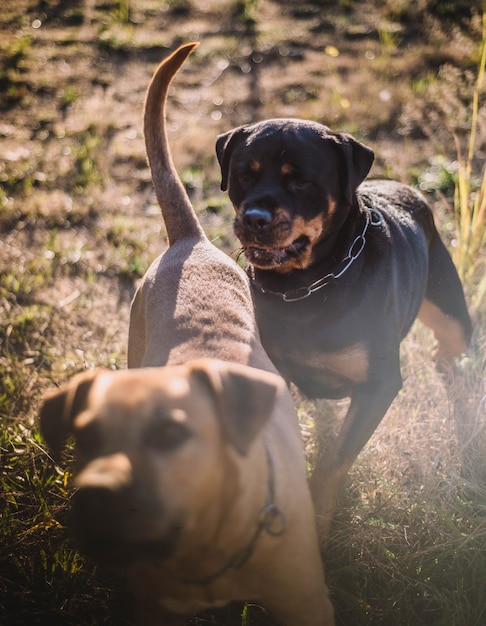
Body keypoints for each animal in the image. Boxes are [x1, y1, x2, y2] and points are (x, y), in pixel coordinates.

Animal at [39, 44, 334, 624]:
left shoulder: (308, 602)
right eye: (86, 436)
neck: (208, 548)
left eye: (171, 435)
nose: (97, 500)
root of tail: (190, 240)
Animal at [216, 117, 470, 540]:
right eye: (243, 175)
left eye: (301, 181)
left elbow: (333, 459)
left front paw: (316, 526)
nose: (254, 218)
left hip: (451, 312)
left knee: (451, 348)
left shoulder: (379, 386)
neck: (305, 286)